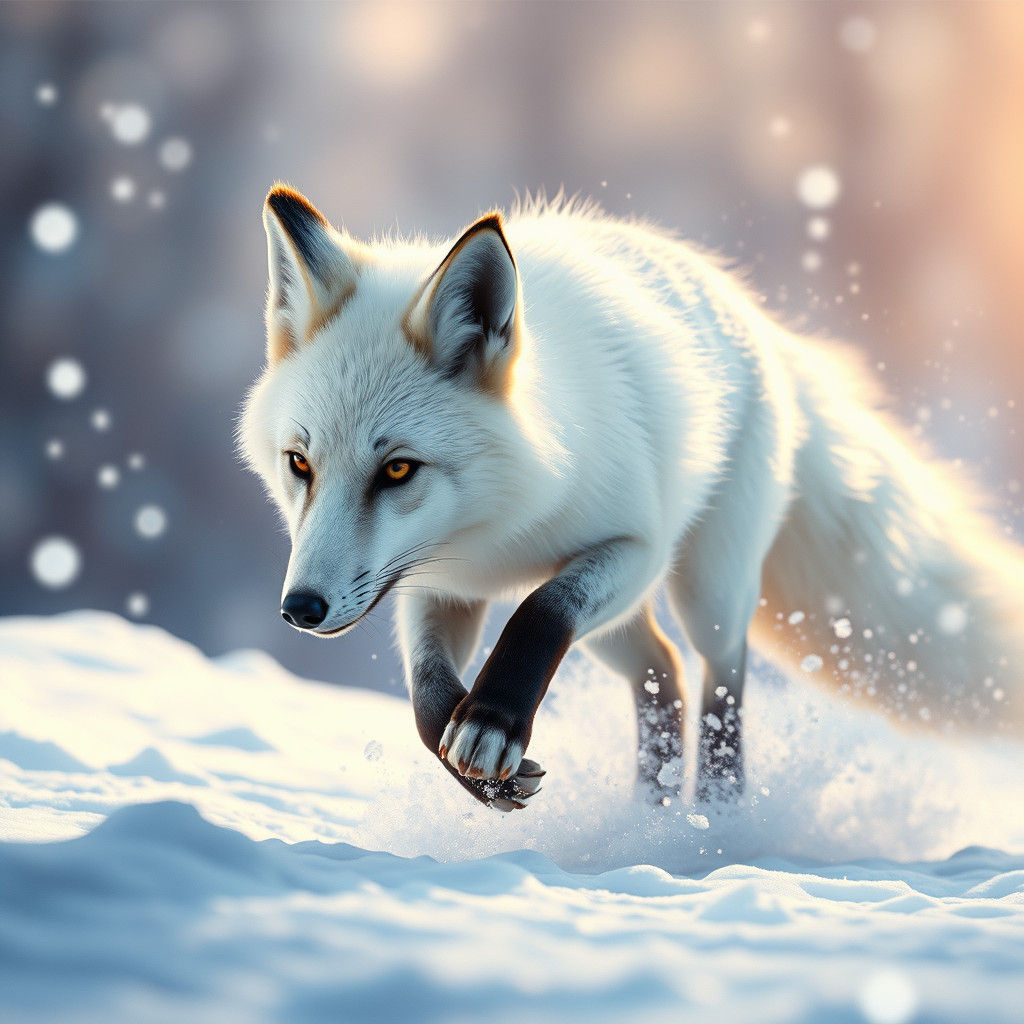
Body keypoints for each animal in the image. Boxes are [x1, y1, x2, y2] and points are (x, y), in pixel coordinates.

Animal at [239, 184, 1024, 812]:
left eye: (398, 470)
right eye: (300, 464)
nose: (300, 609)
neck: (496, 533)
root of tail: (753, 316)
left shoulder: (634, 549)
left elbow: (538, 610)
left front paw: (491, 725)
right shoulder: (437, 586)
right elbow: (427, 701)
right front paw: (483, 770)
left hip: (705, 586)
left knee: (718, 678)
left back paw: (717, 813)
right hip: (616, 631)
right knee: (662, 674)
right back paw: (649, 819)